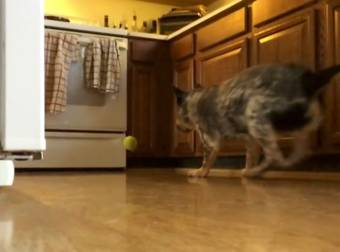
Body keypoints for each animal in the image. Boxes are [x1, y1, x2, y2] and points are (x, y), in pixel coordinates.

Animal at [174, 63, 340, 177]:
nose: (176, 126)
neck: (194, 99)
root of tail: (309, 79)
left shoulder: (209, 141)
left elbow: (207, 160)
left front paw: (200, 172)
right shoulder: (249, 139)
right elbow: (251, 156)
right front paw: (248, 167)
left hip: (255, 114)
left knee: (274, 156)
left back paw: (253, 172)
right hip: (299, 128)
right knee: (298, 153)